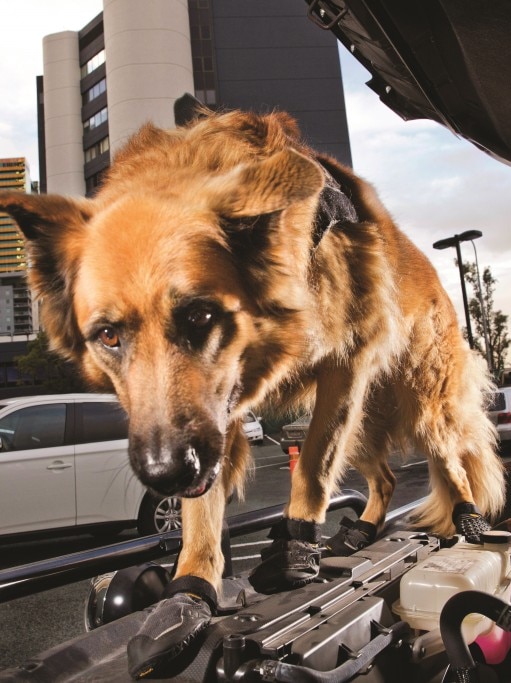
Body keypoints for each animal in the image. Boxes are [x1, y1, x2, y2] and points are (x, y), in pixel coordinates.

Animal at [0, 95, 504, 672]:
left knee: (450, 461)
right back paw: (362, 529)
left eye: (199, 317)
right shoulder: (222, 412)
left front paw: (294, 552)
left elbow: (311, 470)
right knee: (386, 478)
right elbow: (203, 511)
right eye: (108, 336)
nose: (165, 473)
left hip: (420, 402)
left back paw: (466, 518)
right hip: (361, 422)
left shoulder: (344, 364)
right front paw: (189, 594)